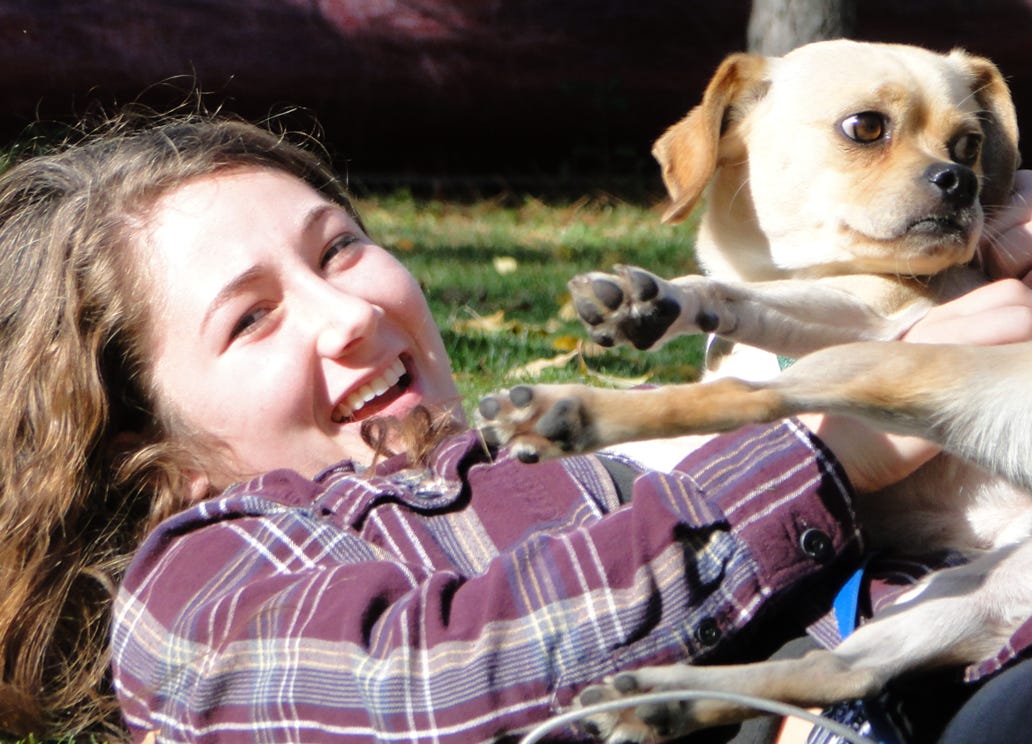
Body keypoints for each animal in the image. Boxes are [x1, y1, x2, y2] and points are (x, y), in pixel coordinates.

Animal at [478, 39, 1032, 738]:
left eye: (969, 145)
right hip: (977, 594)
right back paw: (660, 701)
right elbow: (735, 298)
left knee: (752, 398)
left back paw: (570, 412)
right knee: (842, 671)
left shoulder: (873, 313)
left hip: (875, 365)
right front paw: (653, 304)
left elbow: (745, 321)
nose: (960, 180)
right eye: (866, 127)